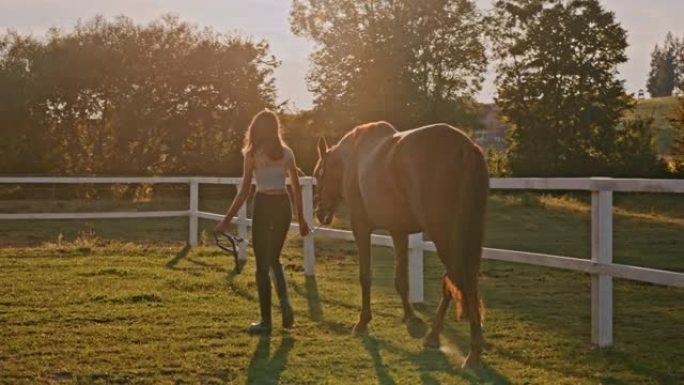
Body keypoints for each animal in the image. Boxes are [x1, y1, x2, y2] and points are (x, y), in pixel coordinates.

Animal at [312, 121, 488, 368]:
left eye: (318, 175)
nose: (321, 214)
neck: (353, 159)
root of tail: (465, 147)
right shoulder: (399, 231)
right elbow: (401, 280)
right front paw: (411, 317)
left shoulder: (361, 227)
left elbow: (365, 276)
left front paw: (362, 322)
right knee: (457, 280)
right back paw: (433, 336)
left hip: (445, 236)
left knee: (461, 281)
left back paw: (472, 350)